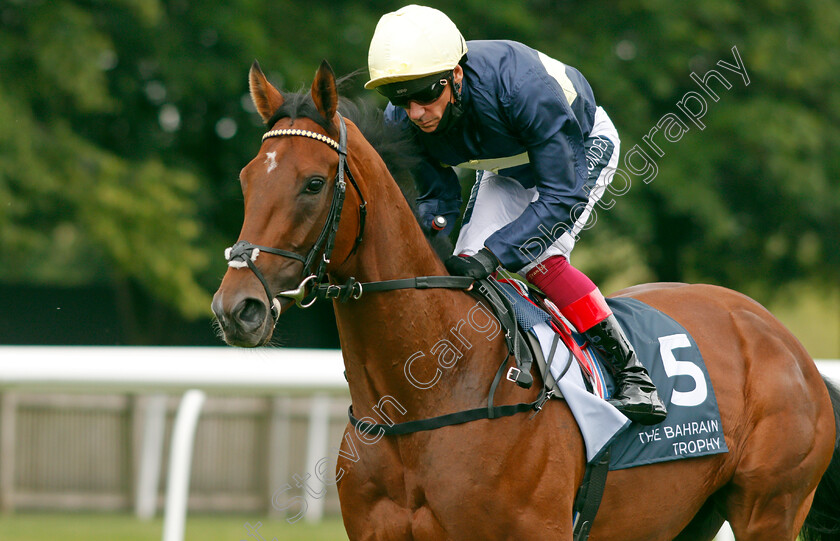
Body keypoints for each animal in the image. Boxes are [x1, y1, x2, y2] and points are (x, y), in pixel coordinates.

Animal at [212, 61, 840, 536]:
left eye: (313, 184)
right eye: (246, 179)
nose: (236, 308)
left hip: (769, 507)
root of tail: (783, 340)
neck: (424, 395)